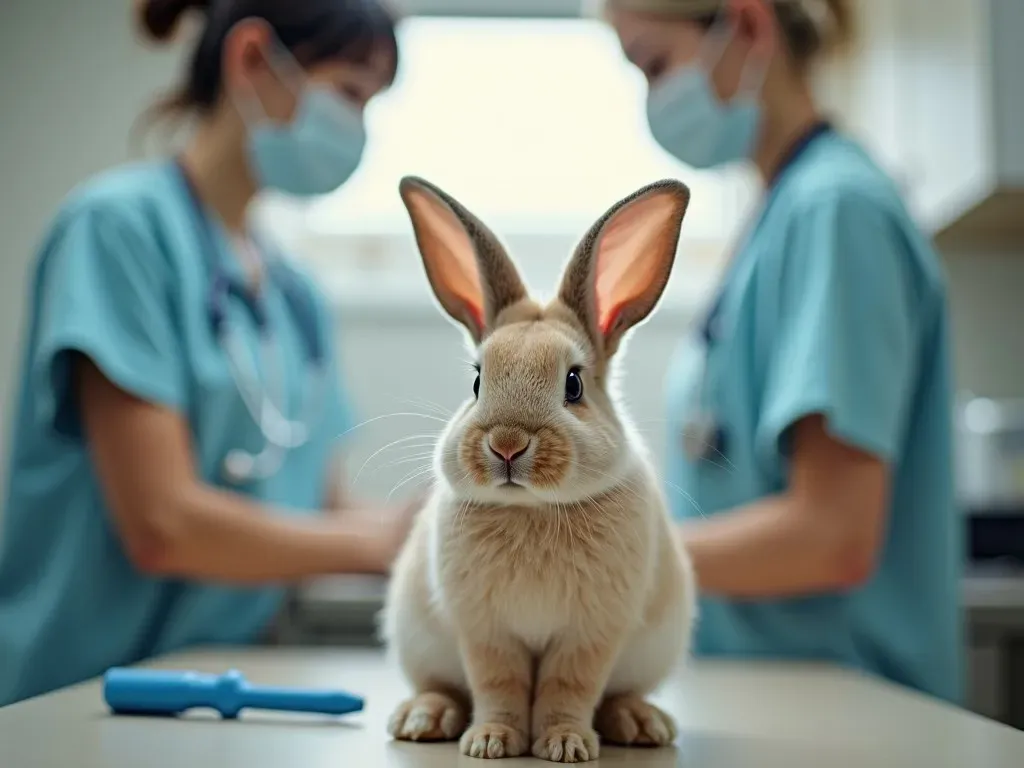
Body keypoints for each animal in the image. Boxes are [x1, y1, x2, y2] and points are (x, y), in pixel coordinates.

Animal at [380, 176, 700, 765]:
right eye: (477, 381)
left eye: (573, 384)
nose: (506, 444)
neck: (530, 508)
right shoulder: (485, 632)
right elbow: (498, 686)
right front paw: (490, 742)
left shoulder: (590, 634)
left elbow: (567, 688)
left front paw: (565, 745)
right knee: (443, 686)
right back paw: (423, 718)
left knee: (615, 695)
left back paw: (641, 723)